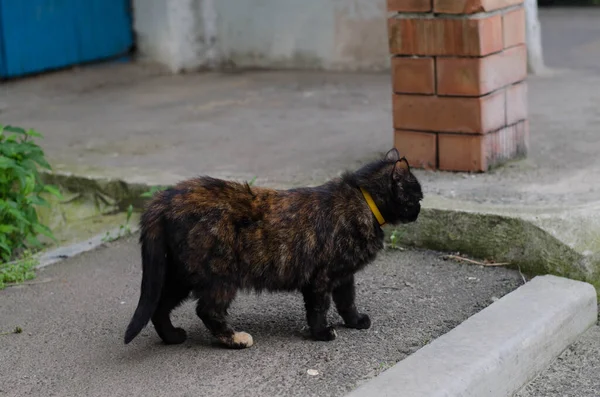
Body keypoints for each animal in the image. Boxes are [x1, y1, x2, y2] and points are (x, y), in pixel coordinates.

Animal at [123, 148, 422, 346]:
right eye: (417, 195)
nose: (420, 209)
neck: (363, 199)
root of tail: (165, 197)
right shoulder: (321, 277)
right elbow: (319, 308)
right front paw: (321, 334)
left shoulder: (344, 275)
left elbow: (347, 301)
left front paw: (356, 321)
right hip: (219, 274)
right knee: (207, 310)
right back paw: (236, 339)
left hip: (182, 274)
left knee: (159, 305)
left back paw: (172, 337)